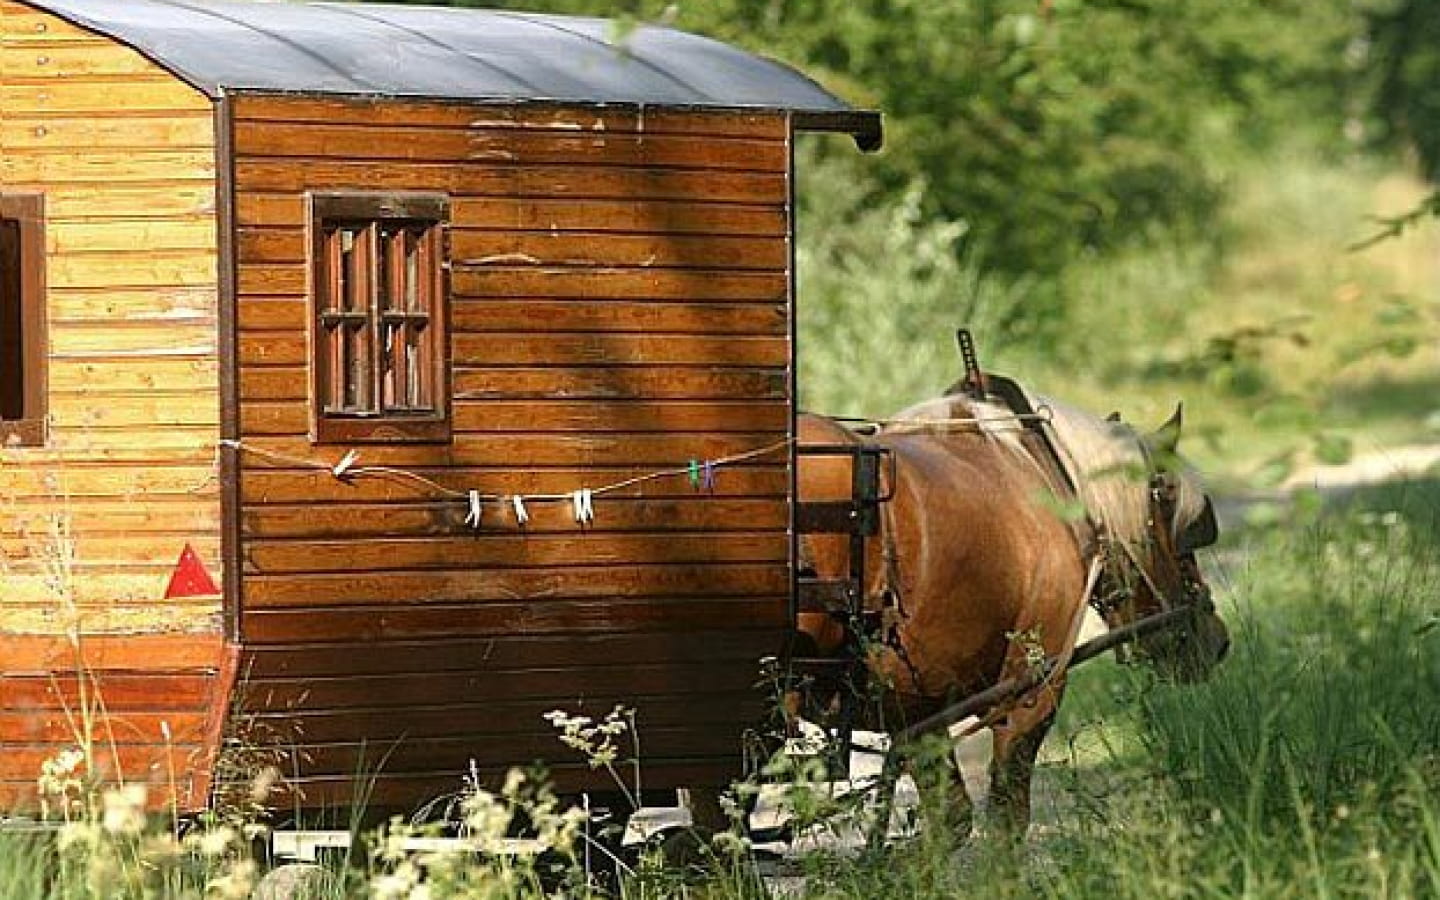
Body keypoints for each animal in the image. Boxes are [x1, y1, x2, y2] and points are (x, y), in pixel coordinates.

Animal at [794, 385, 1232, 835]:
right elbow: (1005, 820)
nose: (1217, 639)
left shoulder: (915, 711)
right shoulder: (1030, 693)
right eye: (1177, 526)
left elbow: (951, 820)